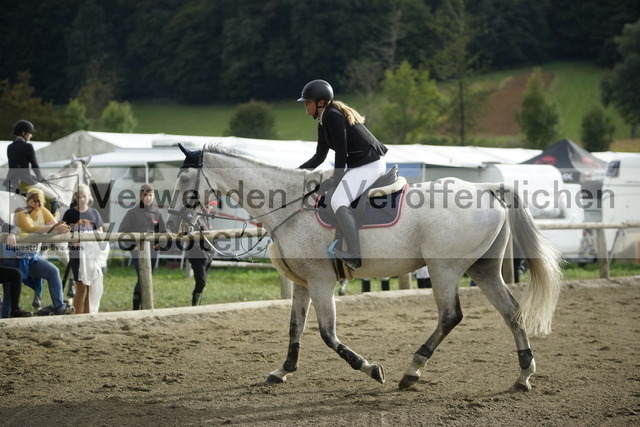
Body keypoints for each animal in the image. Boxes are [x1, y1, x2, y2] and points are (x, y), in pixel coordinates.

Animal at [169, 143, 560, 392]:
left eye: (185, 181)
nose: (174, 227)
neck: (288, 206)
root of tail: (487, 188)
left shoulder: (321, 282)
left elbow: (327, 334)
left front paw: (371, 369)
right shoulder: (303, 283)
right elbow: (295, 328)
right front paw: (283, 371)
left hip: (444, 269)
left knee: (451, 315)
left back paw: (412, 370)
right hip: (482, 269)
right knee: (511, 311)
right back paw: (523, 376)